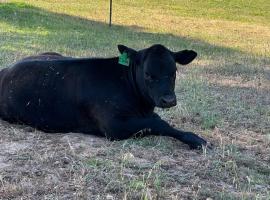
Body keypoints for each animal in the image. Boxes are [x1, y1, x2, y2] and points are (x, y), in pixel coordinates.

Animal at [0, 44, 210, 149]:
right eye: (148, 74)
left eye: (174, 72)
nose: (169, 100)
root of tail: (6, 69)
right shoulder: (114, 125)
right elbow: (159, 124)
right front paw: (196, 139)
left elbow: (157, 120)